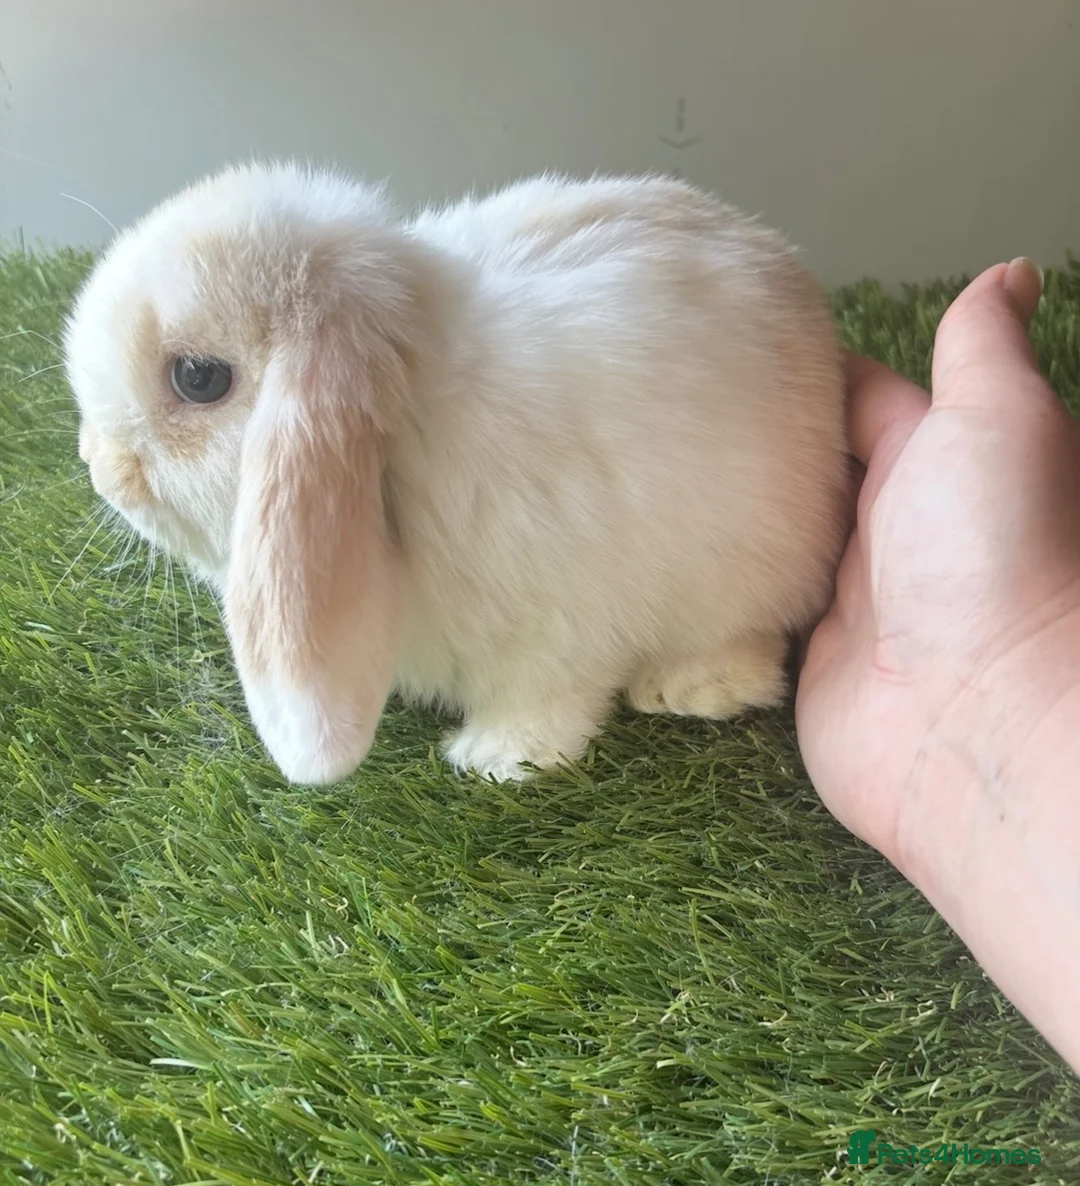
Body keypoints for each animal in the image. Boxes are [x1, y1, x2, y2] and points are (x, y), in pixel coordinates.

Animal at [64, 162, 850, 785]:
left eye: (198, 378)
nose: (102, 469)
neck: (405, 441)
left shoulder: (557, 631)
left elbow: (549, 700)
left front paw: (496, 759)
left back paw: (689, 688)